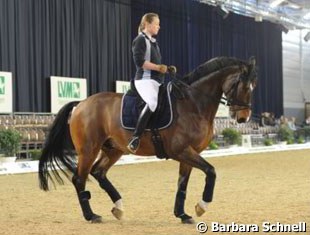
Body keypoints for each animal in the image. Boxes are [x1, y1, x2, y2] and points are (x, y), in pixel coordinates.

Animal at [38, 55, 256, 224]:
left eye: (253, 87)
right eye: (244, 86)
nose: (243, 118)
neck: (193, 104)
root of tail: (81, 104)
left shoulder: (189, 153)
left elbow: (182, 184)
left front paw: (182, 214)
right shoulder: (181, 151)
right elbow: (211, 172)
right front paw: (201, 206)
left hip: (114, 149)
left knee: (98, 172)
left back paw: (118, 207)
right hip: (88, 149)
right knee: (79, 179)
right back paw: (91, 216)